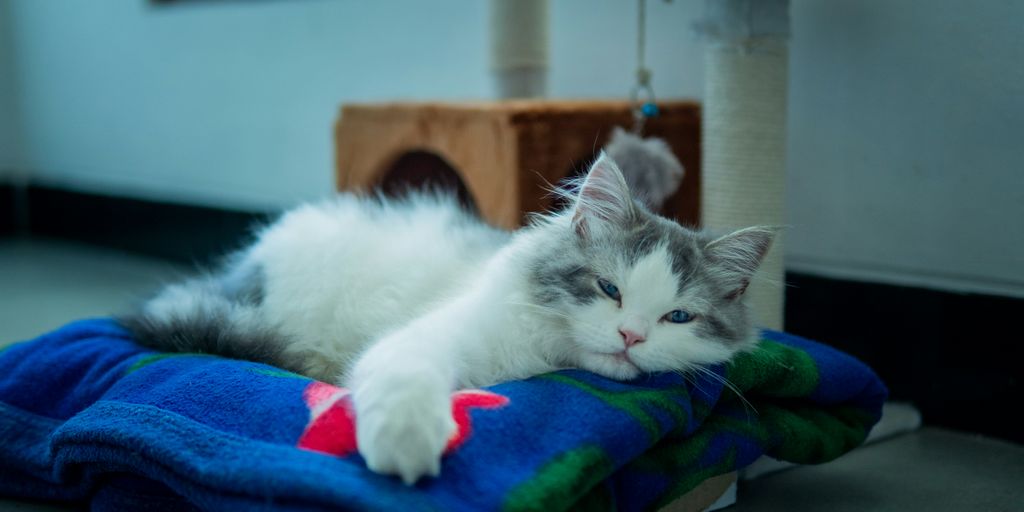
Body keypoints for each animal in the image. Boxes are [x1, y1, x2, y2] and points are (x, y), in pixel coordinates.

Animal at [119, 151, 770, 483]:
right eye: (608, 288)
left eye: (677, 316)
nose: (631, 335)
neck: (543, 359)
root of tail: (244, 265)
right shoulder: (427, 338)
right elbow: (407, 381)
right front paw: (407, 447)